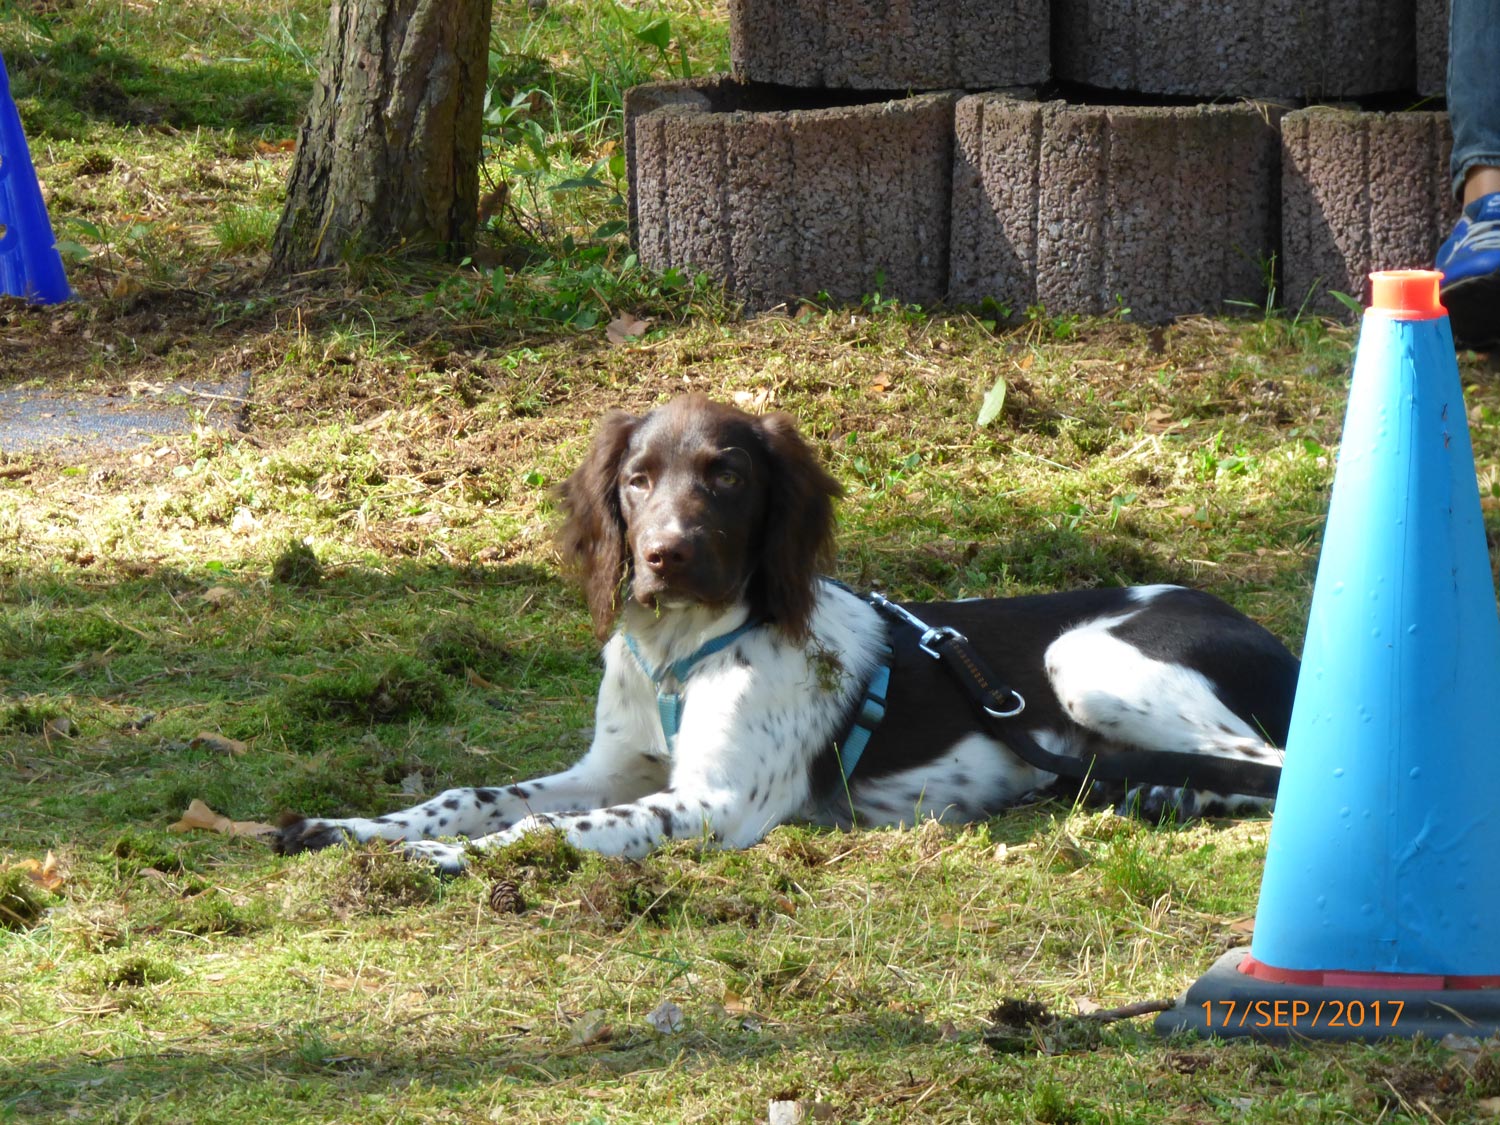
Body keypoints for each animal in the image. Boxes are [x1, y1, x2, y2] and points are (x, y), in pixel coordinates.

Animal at [279, 393, 1302, 876]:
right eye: (637, 479)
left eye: (727, 477)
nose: (665, 557)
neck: (680, 658)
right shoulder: (616, 767)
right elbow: (479, 793)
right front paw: (356, 827)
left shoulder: (713, 802)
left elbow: (552, 830)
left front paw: (451, 857)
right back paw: (1165, 792)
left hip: (1084, 656)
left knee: (1279, 767)